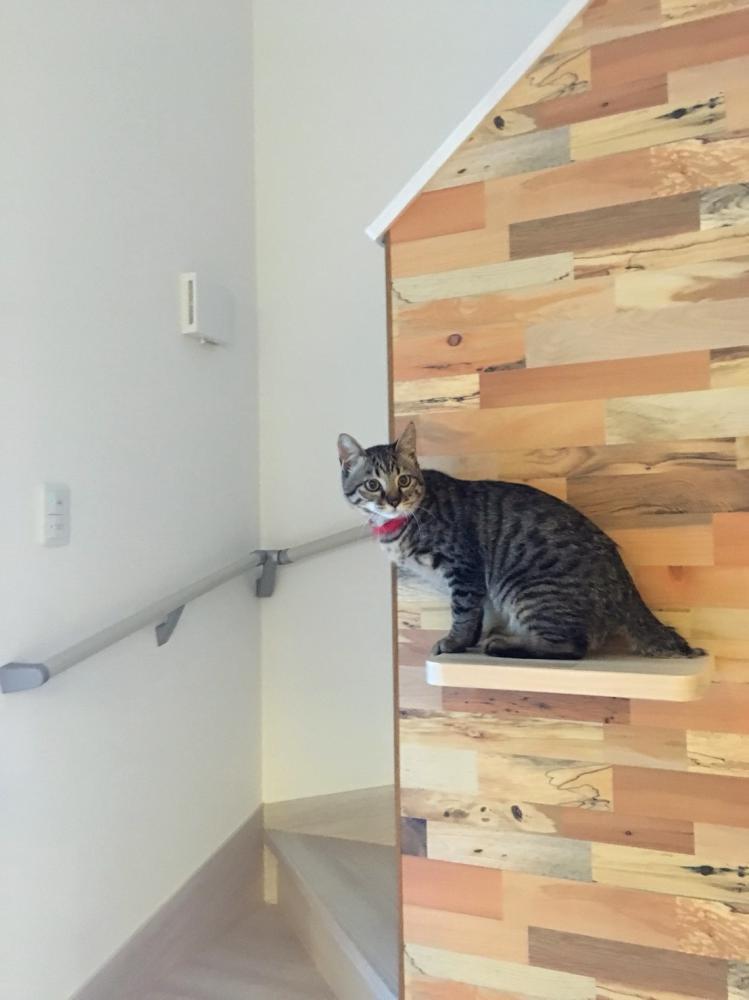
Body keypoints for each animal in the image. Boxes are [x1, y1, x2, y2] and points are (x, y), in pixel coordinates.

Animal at [338, 422, 705, 661]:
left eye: (404, 479)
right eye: (372, 485)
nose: (393, 500)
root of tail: (625, 583)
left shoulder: (464, 567)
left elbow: (464, 612)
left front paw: (455, 642)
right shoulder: (473, 582)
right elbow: (474, 615)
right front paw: (467, 642)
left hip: (529, 588)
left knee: (572, 648)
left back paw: (505, 644)